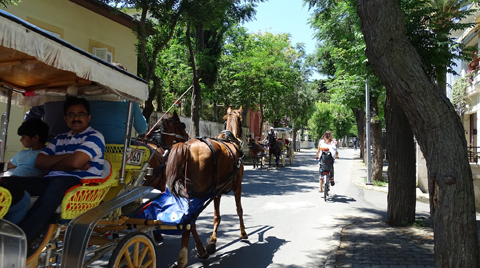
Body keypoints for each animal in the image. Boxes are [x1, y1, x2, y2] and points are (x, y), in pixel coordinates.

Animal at [165, 107, 248, 268]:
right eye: (241, 120)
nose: (242, 139)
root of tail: (186, 146)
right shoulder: (237, 186)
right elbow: (239, 210)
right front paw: (243, 233)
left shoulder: (217, 191)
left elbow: (216, 217)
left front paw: (212, 241)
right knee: (190, 222)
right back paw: (184, 256)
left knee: (191, 223)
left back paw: (201, 250)